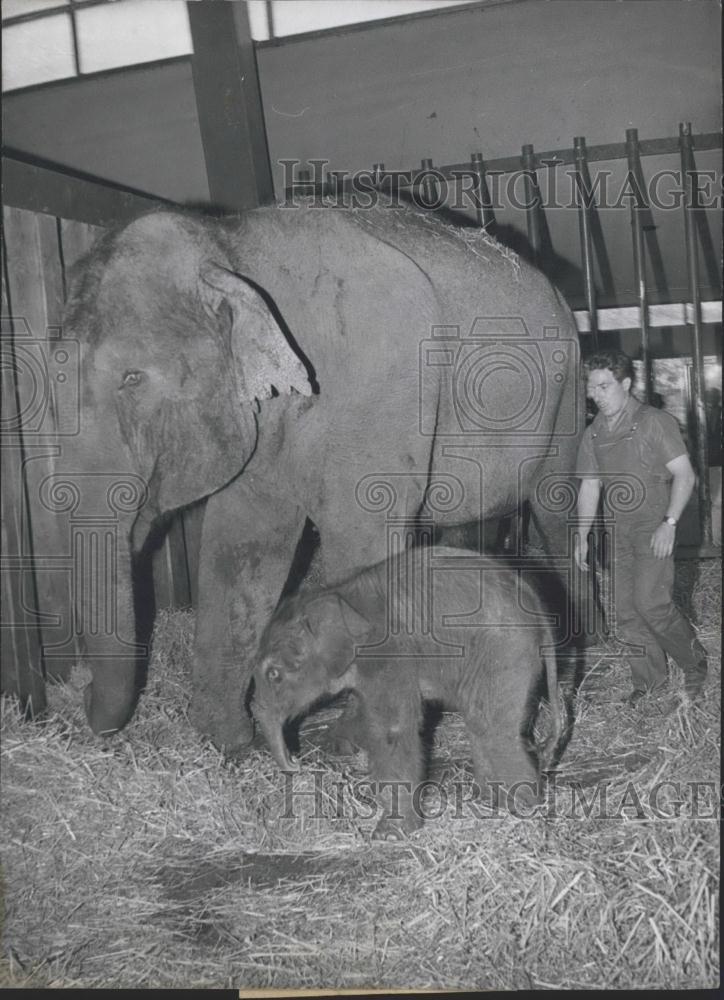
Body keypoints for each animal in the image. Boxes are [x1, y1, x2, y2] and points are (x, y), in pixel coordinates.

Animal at [54, 202, 583, 748]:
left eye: (132, 379)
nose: (83, 697)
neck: (230, 245)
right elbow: (242, 542)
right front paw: (227, 742)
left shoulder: (380, 386)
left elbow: (360, 536)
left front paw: (343, 741)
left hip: (566, 392)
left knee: (554, 507)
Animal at [251, 545, 562, 838]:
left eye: (274, 674)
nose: (296, 762)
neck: (342, 594)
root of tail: (538, 607)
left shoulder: (389, 653)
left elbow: (393, 729)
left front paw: (390, 833)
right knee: (479, 724)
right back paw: (490, 801)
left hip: (503, 650)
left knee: (491, 727)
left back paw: (521, 810)